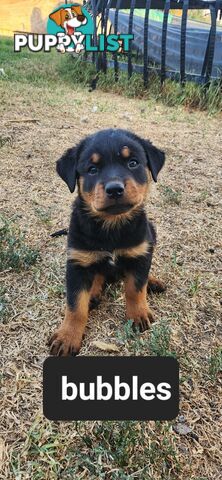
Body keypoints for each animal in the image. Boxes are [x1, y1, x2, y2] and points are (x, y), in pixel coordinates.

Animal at [48, 128, 165, 356]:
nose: (114, 189)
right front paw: (67, 337)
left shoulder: (140, 252)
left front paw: (138, 314)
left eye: (133, 163)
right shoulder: (76, 263)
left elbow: (135, 287)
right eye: (92, 169)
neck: (111, 226)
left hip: (151, 233)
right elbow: (75, 305)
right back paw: (93, 291)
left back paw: (153, 282)